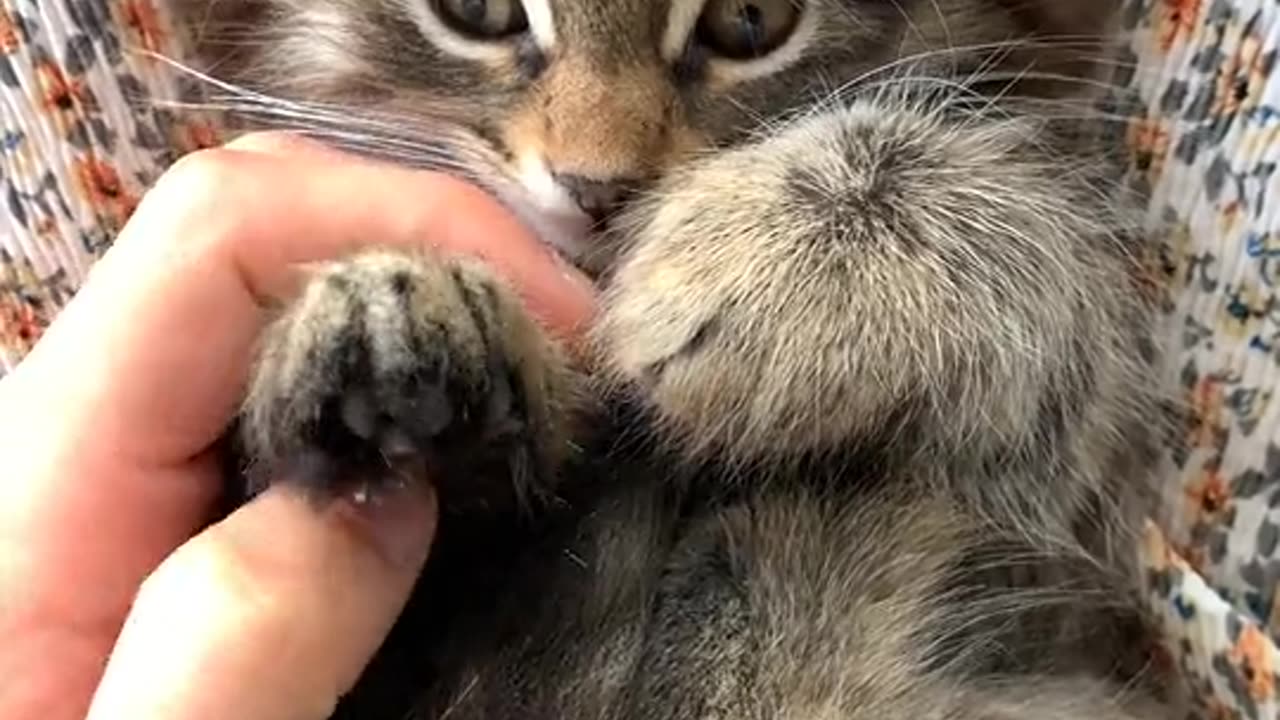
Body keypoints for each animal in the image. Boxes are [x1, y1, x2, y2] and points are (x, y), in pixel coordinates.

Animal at [172, 0, 1177, 712]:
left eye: (750, 19)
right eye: (475, 8)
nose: (599, 187)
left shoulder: (1053, 547)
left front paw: (772, 258)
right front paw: (393, 332)